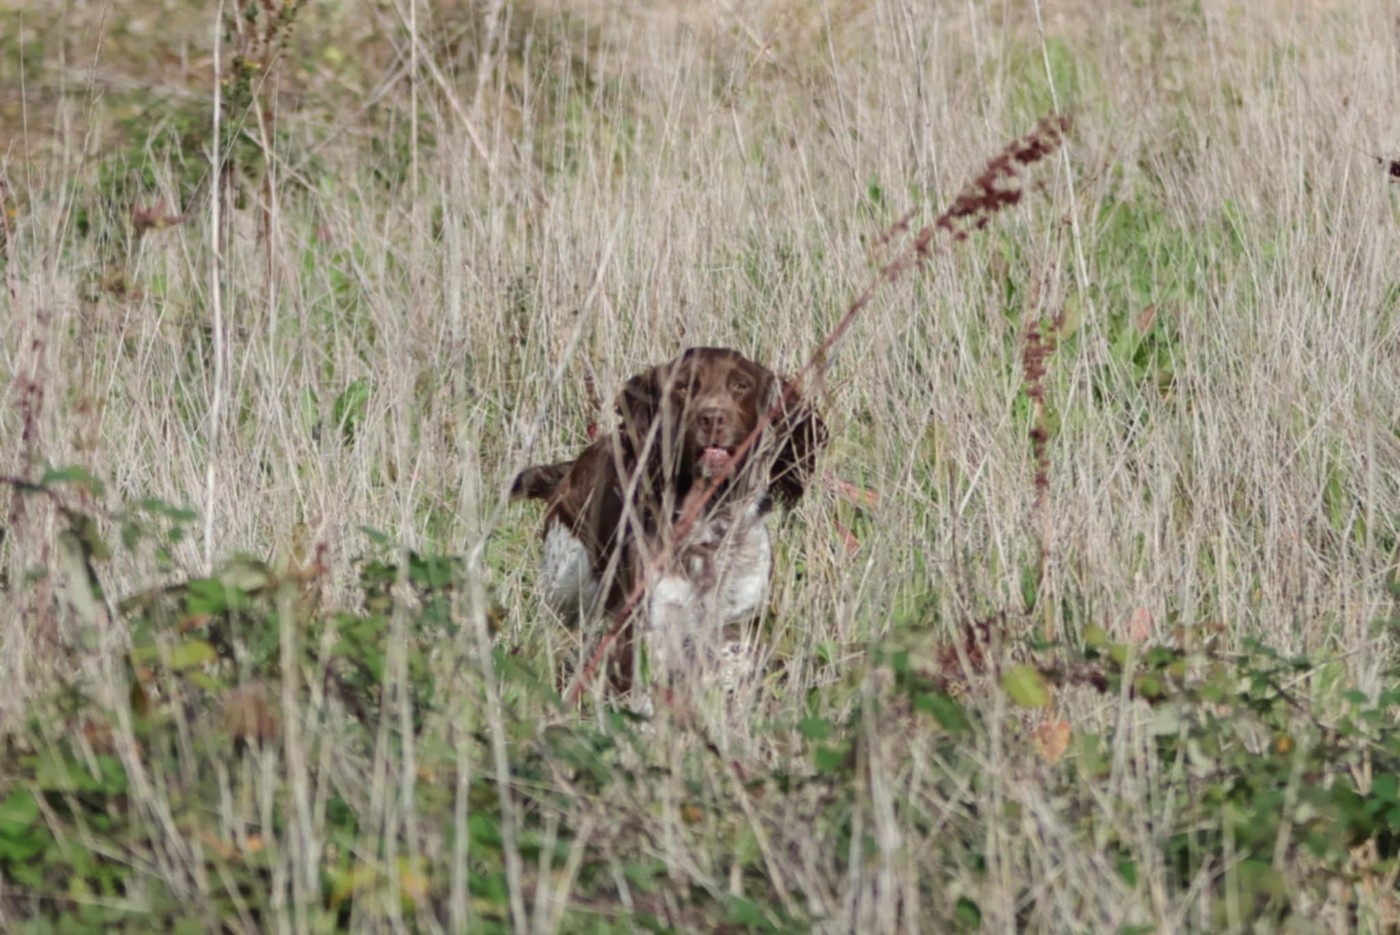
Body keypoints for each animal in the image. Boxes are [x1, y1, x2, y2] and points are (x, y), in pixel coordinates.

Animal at [511, 347, 826, 695]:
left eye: (740, 386)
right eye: (684, 387)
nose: (712, 418)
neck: (710, 517)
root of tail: (571, 469)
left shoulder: (738, 618)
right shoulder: (653, 622)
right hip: (568, 582)